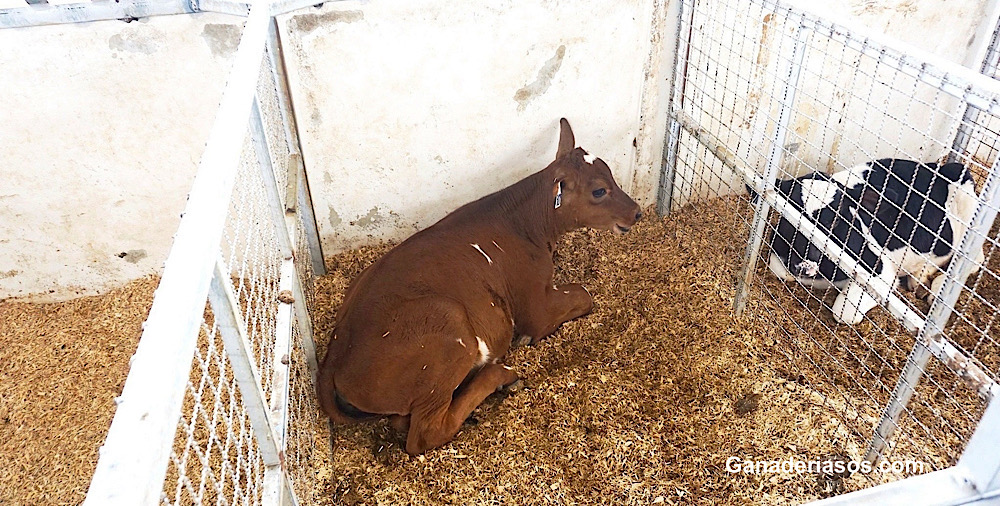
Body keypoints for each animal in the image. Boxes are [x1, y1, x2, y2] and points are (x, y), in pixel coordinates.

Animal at [316, 119, 640, 454]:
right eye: (599, 190)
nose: (637, 212)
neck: (526, 223)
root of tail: (335, 352)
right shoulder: (534, 305)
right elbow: (583, 296)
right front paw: (526, 339)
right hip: (448, 332)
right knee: (426, 433)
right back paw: (500, 375)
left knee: (402, 420)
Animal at [760, 158, 980, 324]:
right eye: (789, 212)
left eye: (835, 219)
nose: (806, 265)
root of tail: (935, 166)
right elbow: (780, 269)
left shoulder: (881, 272)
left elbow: (844, 313)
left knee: (974, 261)